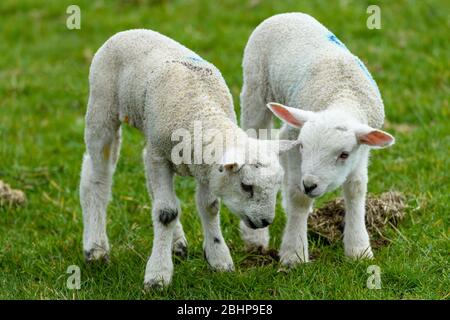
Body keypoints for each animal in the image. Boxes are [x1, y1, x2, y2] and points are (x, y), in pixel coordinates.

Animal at [80, 29, 298, 288]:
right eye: (246, 186)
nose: (265, 221)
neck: (201, 109)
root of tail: (129, 31)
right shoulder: (160, 157)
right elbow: (166, 213)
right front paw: (158, 274)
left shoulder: (207, 168)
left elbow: (209, 206)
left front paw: (218, 258)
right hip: (102, 107)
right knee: (96, 178)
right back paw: (95, 248)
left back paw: (176, 243)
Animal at [243, 13, 394, 266]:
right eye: (304, 147)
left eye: (344, 154)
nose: (310, 184)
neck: (342, 95)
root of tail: (288, 14)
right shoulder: (295, 142)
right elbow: (298, 198)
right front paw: (294, 254)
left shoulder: (361, 151)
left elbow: (356, 189)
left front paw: (359, 249)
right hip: (255, 87)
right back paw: (255, 238)